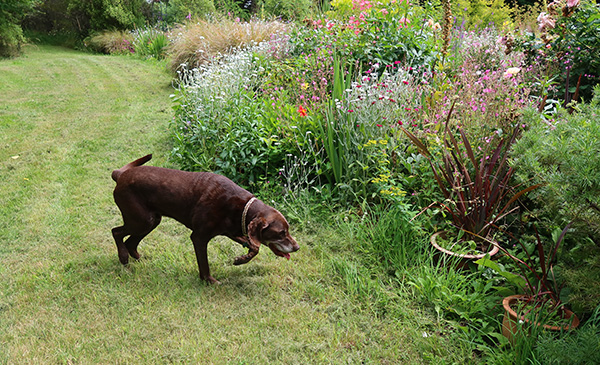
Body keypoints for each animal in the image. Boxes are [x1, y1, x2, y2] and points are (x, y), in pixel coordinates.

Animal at [110, 155, 298, 282]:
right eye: (281, 233)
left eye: (287, 230)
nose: (297, 247)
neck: (240, 207)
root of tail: (120, 174)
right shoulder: (199, 237)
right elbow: (204, 264)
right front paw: (209, 281)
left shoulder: (232, 230)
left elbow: (254, 247)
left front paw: (241, 260)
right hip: (141, 220)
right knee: (116, 232)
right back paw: (123, 257)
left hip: (150, 221)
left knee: (130, 242)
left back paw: (136, 257)